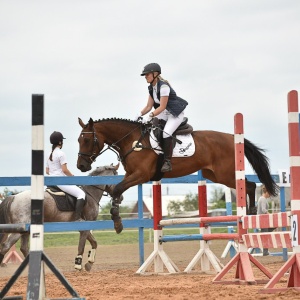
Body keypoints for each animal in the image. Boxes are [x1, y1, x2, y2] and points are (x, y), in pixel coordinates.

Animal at [77, 118, 278, 234]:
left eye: (86, 140)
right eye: (79, 140)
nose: (81, 166)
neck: (132, 140)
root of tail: (233, 138)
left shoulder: (141, 175)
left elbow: (117, 189)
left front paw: (117, 222)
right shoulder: (131, 174)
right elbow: (116, 191)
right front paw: (117, 218)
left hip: (226, 174)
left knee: (250, 185)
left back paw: (250, 213)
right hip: (216, 175)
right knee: (249, 185)